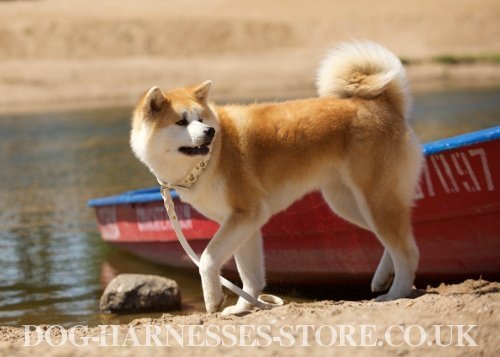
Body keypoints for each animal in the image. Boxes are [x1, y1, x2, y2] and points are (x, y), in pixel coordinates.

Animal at [131, 41, 424, 314]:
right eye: (181, 122)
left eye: (201, 119)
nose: (209, 132)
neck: (212, 158)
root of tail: (383, 103)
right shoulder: (244, 222)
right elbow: (250, 277)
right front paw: (244, 307)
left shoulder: (246, 214)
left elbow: (207, 259)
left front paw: (213, 298)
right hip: (348, 204)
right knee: (393, 242)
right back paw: (383, 278)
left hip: (375, 199)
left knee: (407, 250)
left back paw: (396, 292)